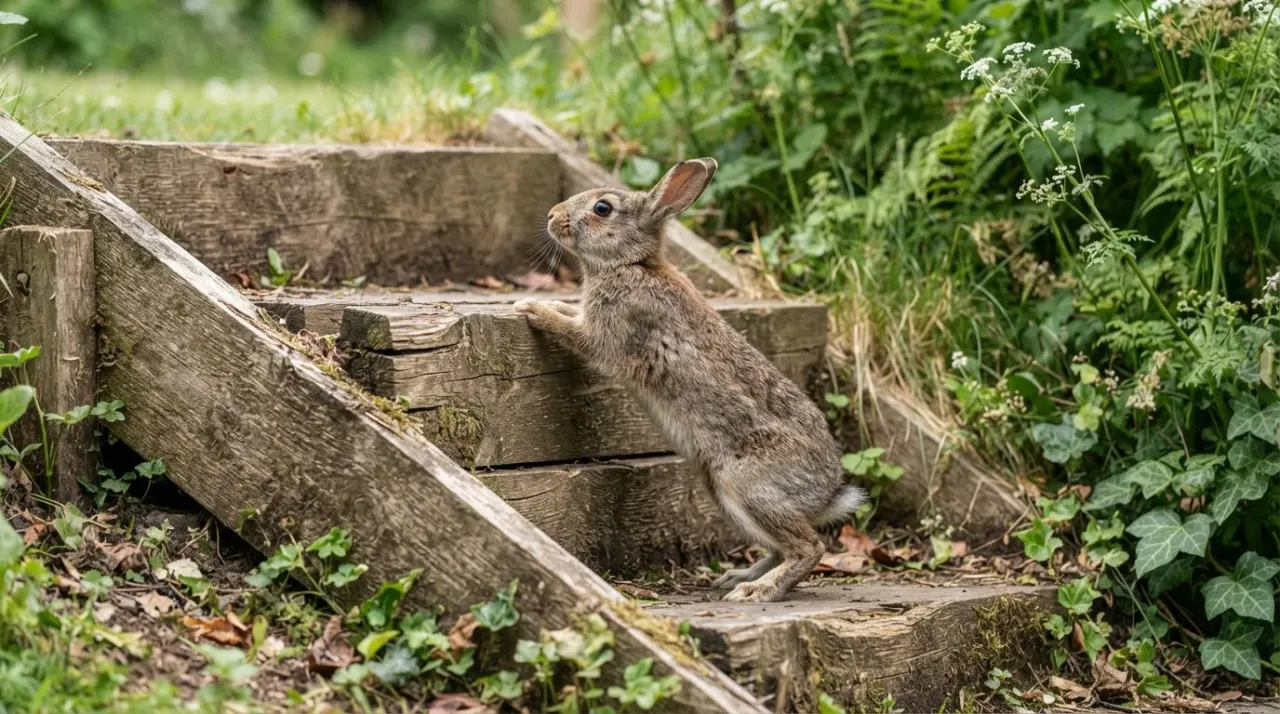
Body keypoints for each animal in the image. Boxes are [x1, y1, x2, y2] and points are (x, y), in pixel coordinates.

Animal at [515, 158, 863, 603]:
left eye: (602, 209)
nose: (552, 216)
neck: (631, 265)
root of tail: (827, 493)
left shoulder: (609, 332)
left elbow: (574, 334)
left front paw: (530, 307)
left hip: (746, 483)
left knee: (809, 547)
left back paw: (758, 592)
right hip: (722, 491)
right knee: (780, 546)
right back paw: (737, 578)